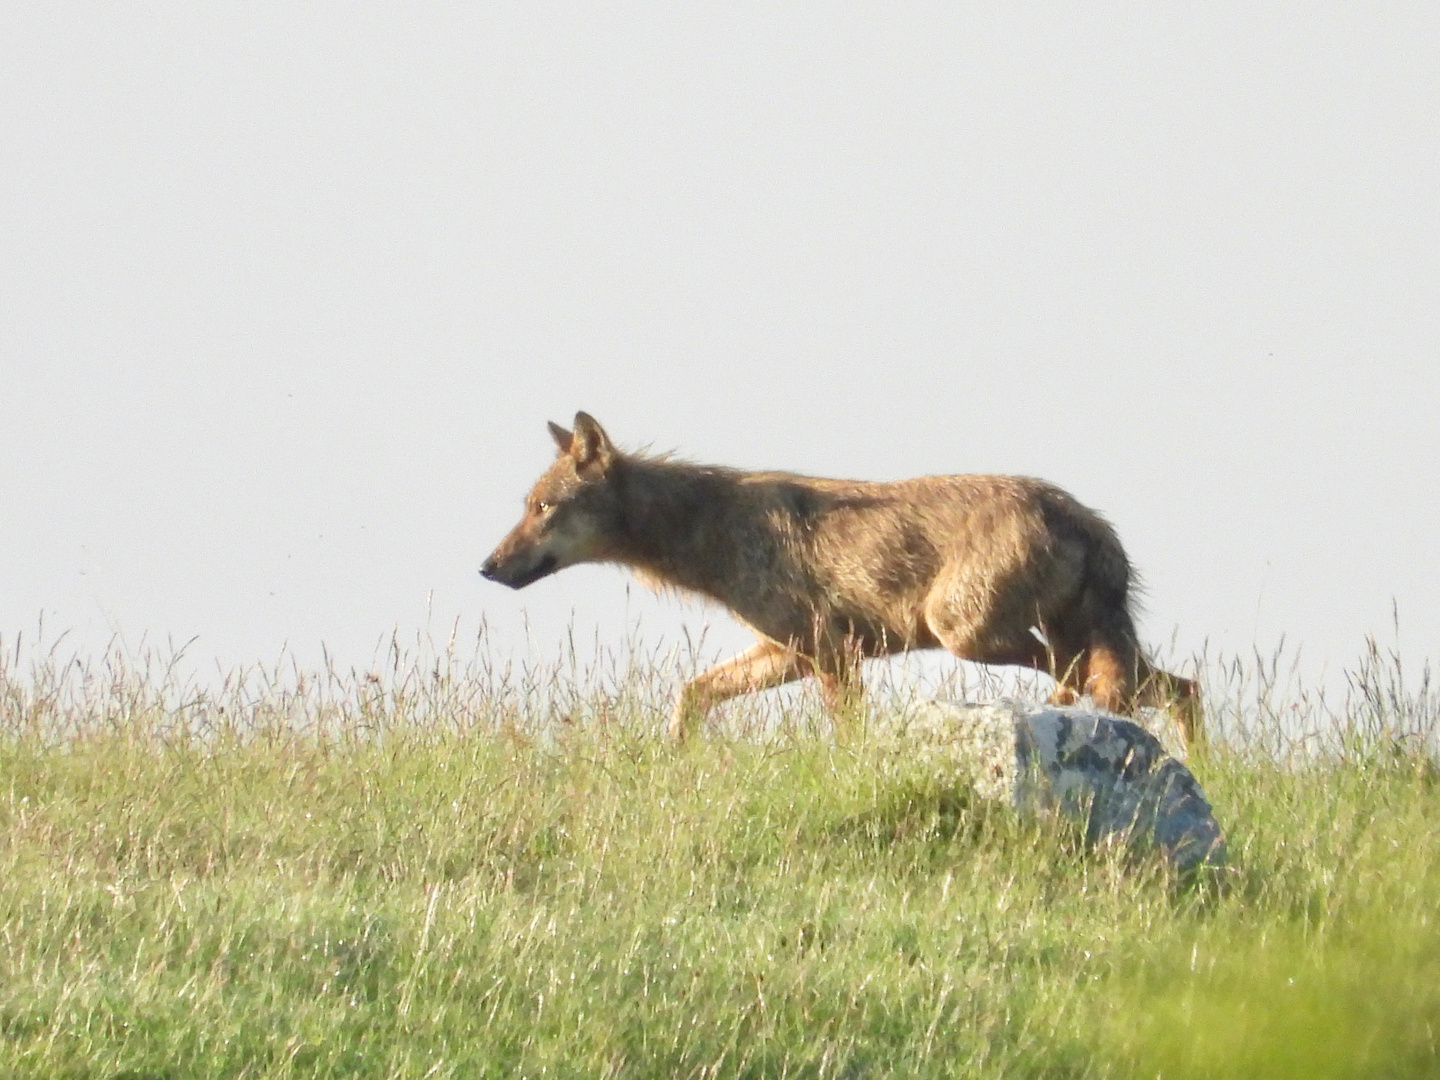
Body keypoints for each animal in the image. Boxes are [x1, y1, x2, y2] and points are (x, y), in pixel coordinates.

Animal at [483, 417, 1203, 754]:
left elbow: (847, 733)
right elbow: (690, 695)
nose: (487, 567)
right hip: (1065, 643)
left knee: (1099, 686)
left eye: (543, 509)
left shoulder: (827, 654)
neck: (709, 526)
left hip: (972, 636)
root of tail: (1083, 515)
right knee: (1180, 689)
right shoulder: (788, 653)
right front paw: (674, 756)